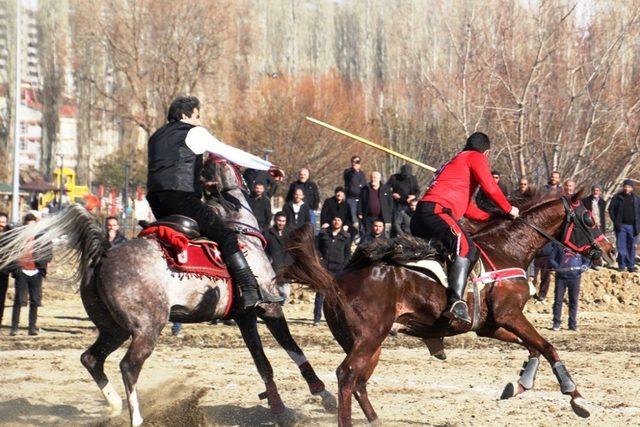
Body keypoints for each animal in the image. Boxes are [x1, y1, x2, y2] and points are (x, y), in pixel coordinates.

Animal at [0, 160, 338, 427]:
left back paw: (115, 406)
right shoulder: (268, 309)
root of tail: (104, 254)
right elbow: (294, 349)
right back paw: (137, 419)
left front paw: (280, 409)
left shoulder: (244, 317)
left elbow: (263, 363)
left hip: (114, 329)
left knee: (91, 359)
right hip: (147, 329)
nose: (266, 180)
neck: (242, 234)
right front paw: (324, 394)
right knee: (128, 367)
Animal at [284, 191, 616, 427]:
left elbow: (533, 348)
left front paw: (520, 384)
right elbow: (548, 346)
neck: (507, 249)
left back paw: (376, 421)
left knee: (359, 383)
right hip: (368, 339)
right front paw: (576, 396)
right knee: (346, 376)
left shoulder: (491, 325)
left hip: (369, 342)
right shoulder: (510, 315)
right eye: (588, 218)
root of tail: (336, 281)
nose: (610, 250)